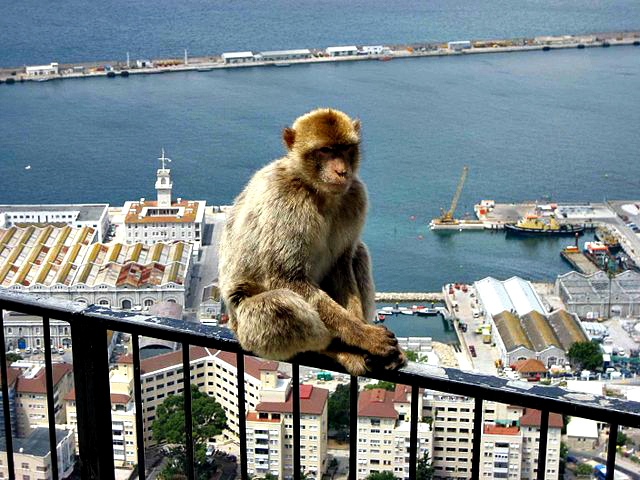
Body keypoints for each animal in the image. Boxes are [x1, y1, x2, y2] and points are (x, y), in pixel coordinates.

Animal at [218, 108, 405, 376]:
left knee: (359, 253)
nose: (341, 171)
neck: (317, 191)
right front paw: (364, 336)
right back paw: (336, 348)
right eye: (325, 150)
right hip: (246, 330)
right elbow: (287, 278)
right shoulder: (286, 202)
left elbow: (343, 263)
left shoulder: (355, 196)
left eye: (345, 148)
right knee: (278, 306)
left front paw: (360, 329)